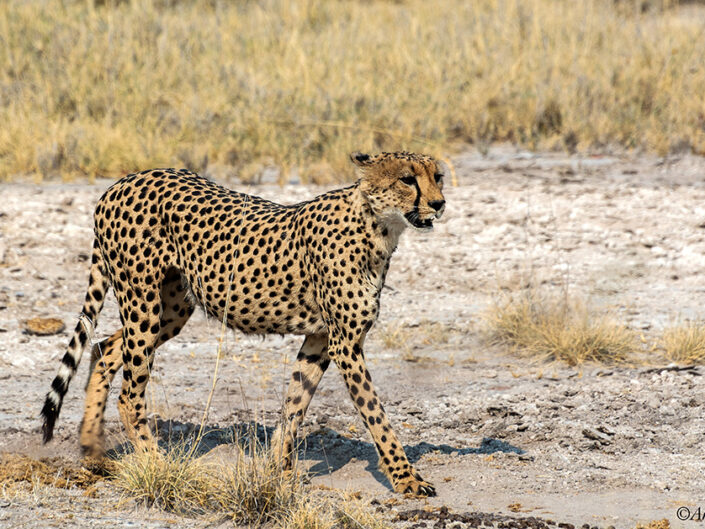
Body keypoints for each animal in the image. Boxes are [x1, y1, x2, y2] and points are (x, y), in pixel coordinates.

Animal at [40, 152, 446, 496]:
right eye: (407, 179)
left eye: (438, 177)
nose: (439, 203)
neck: (377, 225)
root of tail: (123, 181)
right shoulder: (345, 343)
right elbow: (376, 414)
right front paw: (407, 479)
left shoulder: (320, 338)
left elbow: (295, 403)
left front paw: (280, 471)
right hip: (143, 303)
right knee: (128, 393)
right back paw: (154, 461)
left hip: (171, 308)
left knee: (104, 347)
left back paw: (92, 447)